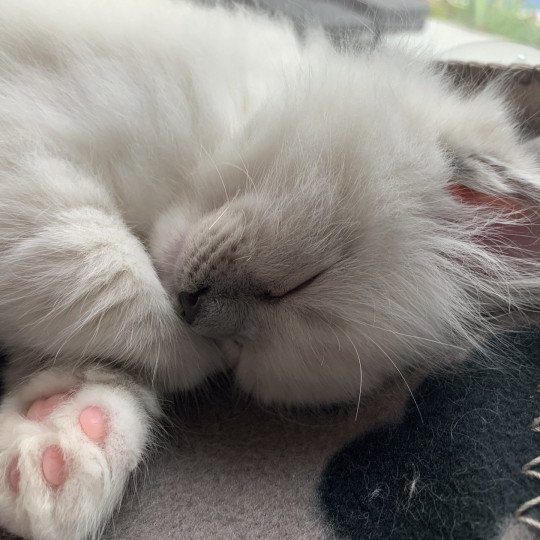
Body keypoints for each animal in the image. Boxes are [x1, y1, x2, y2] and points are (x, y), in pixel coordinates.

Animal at [0, 1, 536, 540]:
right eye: (302, 283)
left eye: (247, 354)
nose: (193, 311)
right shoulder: (33, 151)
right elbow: (105, 270)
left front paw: (61, 445)